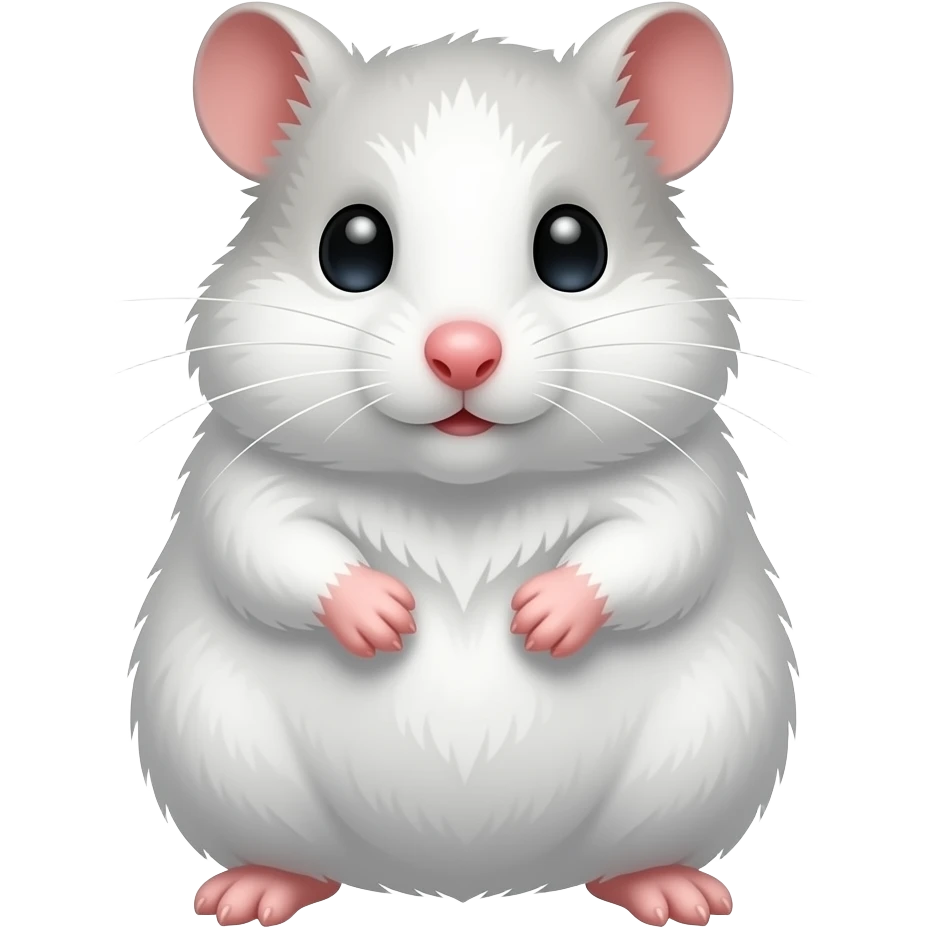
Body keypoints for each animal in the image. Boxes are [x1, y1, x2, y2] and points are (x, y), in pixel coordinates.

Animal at [128, 2, 798, 925]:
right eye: (352, 249)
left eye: (574, 249)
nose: (463, 355)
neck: (463, 492)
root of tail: (463, 878)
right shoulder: (243, 480)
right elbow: (273, 548)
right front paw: (387, 620)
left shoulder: (682, 479)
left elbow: (654, 548)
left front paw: (539, 620)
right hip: (224, 759)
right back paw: (249, 894)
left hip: (701, 760)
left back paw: (676, 894)